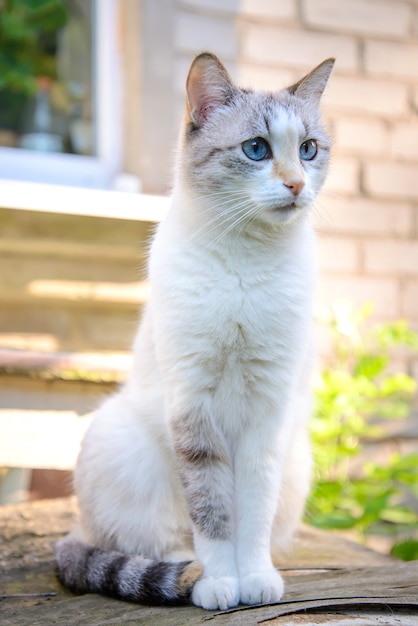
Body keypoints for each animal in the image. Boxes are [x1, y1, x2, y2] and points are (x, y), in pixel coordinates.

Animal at [54, 51, 334, 608]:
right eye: (256, 149)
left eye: (308, 150)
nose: (296, 184)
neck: (248, 258)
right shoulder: (194, 407)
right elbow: (212, 514)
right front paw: (222, 584)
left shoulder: (267, 412)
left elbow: (252, 513)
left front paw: (255, 580)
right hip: (122, 448)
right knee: (162, 544)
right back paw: (189, 575)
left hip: (296, 461)